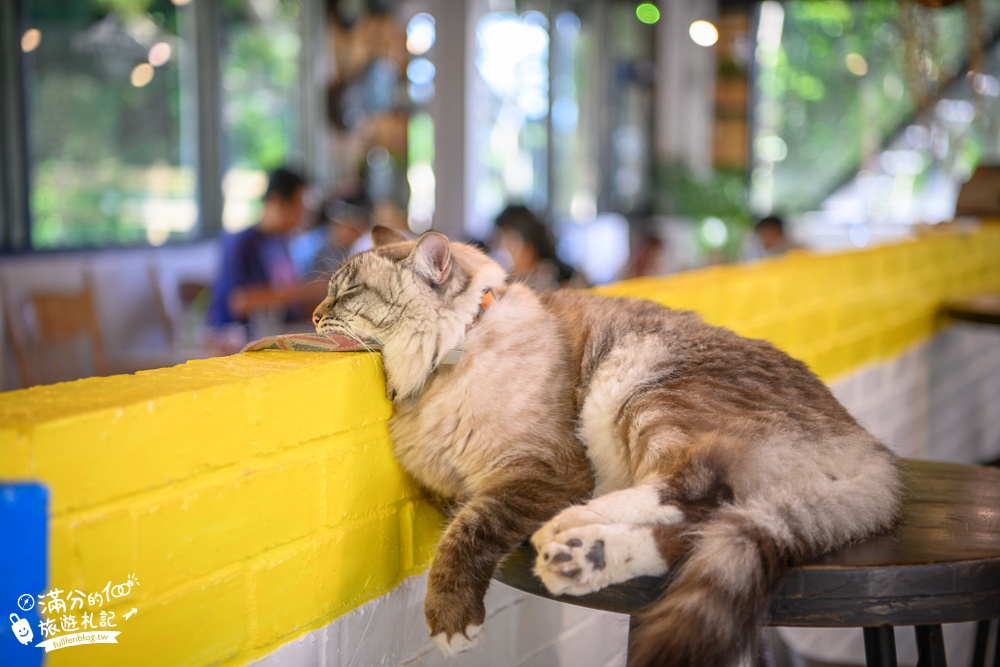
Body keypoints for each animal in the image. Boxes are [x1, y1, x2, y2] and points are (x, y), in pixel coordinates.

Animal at [310, 228, 900, 667]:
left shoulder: (541, 472)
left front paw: (452, 622)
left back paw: (571, 527)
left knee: (694, 488)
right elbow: (463, 520)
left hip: (643, 389)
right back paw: (581, 558)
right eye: (328, 293)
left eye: (347, 294)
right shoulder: (452, 486)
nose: (314, 316)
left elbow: (468, 532)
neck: (448, 362)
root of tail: (874, 453)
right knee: (700, 533)